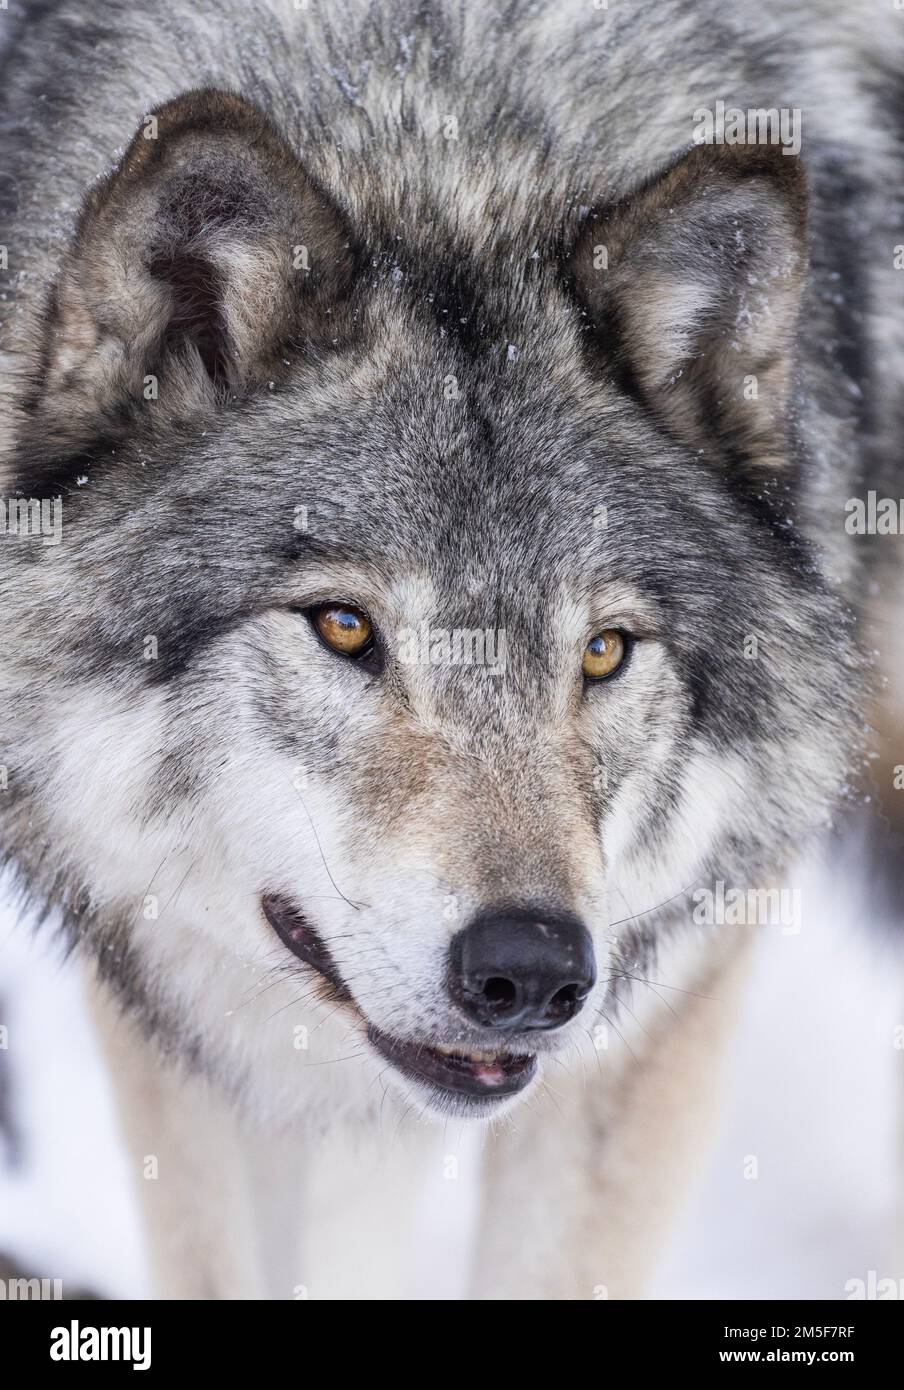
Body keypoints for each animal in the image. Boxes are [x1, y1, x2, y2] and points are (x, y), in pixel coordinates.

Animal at [0, 0, 902, 1299]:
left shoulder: (660, 1006)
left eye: (603, 651)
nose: (530, 969)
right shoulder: (194, 1018)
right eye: (344, 627)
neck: (450, 134)